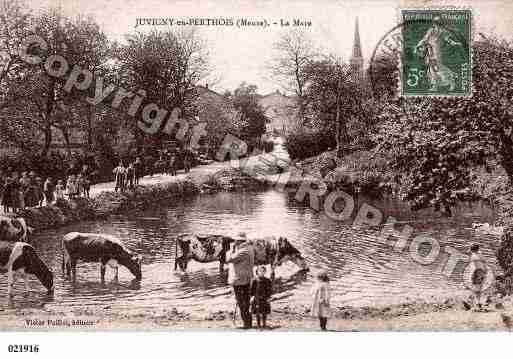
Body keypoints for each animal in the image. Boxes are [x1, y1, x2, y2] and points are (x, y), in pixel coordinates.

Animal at [175, 235, 308, 280]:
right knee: (179, 261)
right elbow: (272, 274)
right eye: (303, 258)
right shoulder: (274, 262)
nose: (308, 269)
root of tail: (181, 237)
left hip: (188, 257)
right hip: (187, 255)